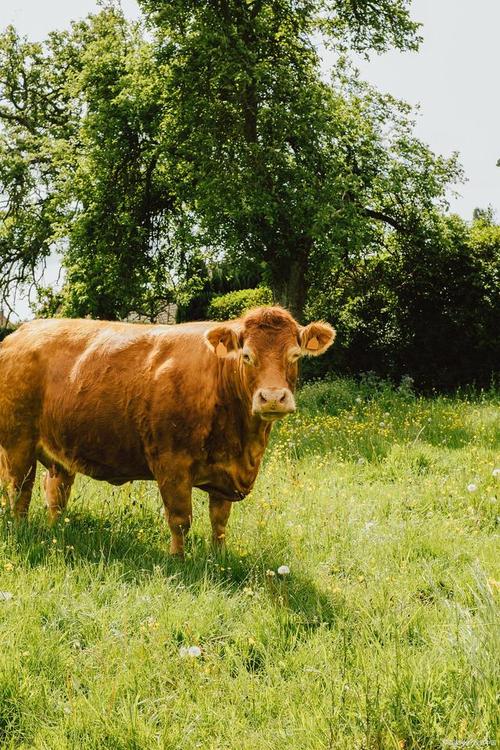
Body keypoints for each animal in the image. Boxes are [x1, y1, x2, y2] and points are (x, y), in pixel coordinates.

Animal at [0, 306, 336, 560]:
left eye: (295, 355)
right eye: (247, 356)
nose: (273, 398)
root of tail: (19, 334)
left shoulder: (224, 473)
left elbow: (220, 521)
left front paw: (219, 557)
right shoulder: (171, 464)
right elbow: (180, 519)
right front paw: (178, 559)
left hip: (57, 449)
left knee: (55, 493)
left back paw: (55, 530)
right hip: (18, 442)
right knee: (19, 491)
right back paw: (22, 530)